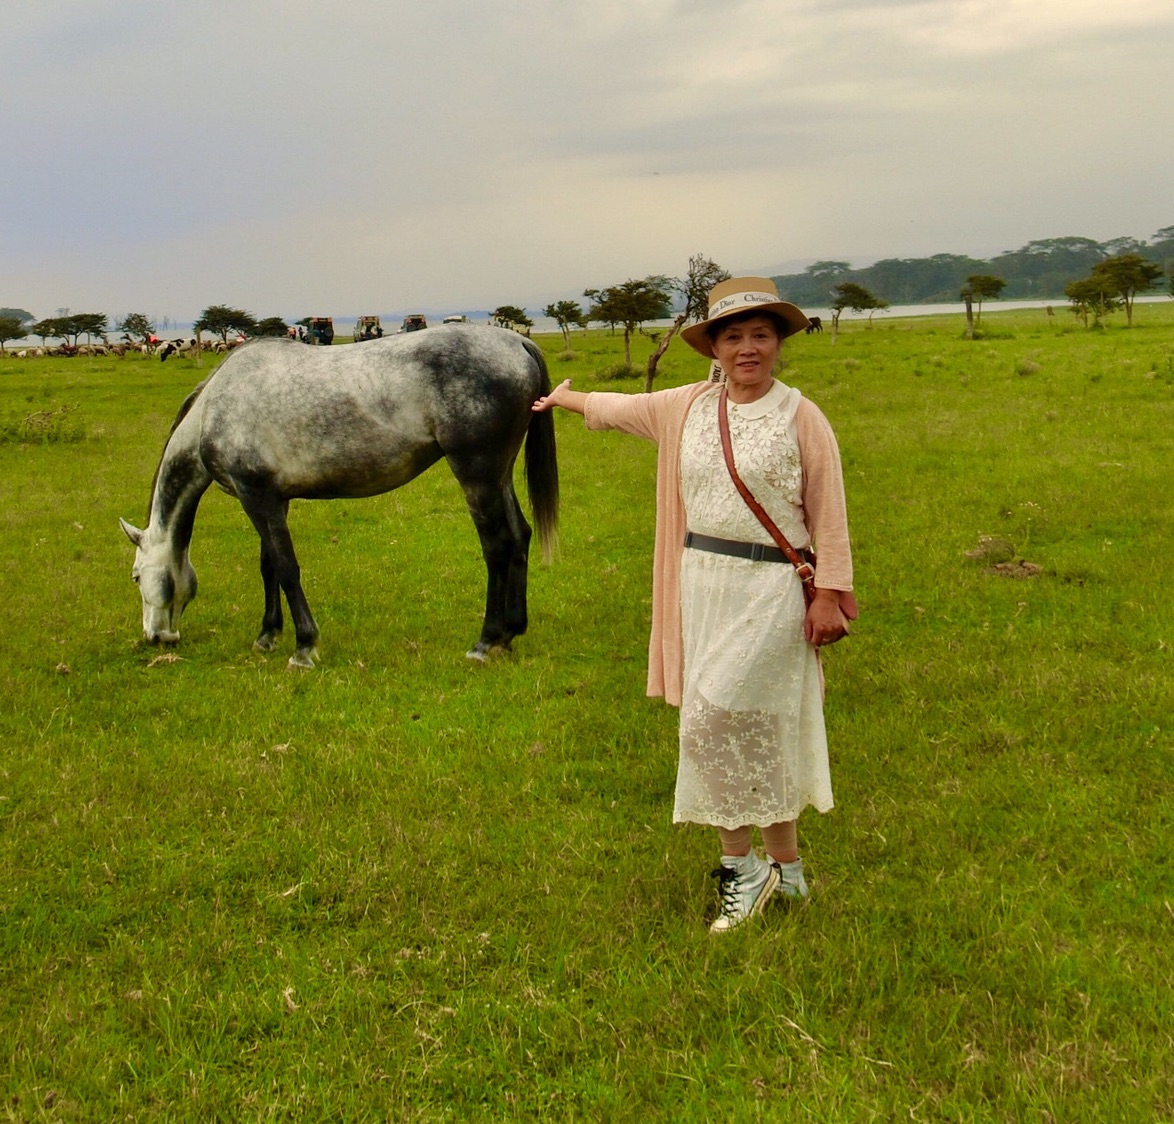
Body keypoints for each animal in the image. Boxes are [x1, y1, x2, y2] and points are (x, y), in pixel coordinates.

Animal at [119, 321, 558, 667]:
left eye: (136, 576)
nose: (155, 637)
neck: (217, 407)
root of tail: (516, 342)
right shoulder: (272, 499)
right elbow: (269, 566)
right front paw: (267, 636)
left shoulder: (255, 496)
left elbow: (287, 568)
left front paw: (304, 647)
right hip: (499, 476)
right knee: (520, 536)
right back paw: (511, 632)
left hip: (477, 475)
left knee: (498, 546)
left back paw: (486, 641)